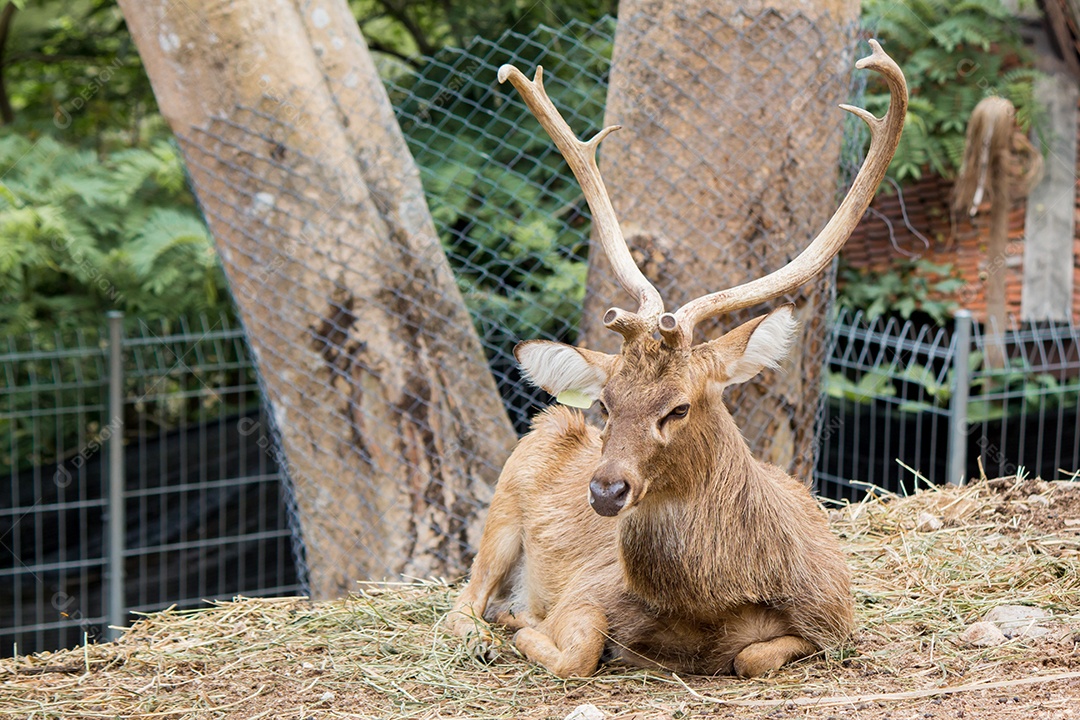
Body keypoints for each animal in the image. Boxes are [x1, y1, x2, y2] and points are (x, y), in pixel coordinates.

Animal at [442, 40, 907, 682]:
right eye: (606, 405)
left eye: (679, 408)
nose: (605, 491)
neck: (715, 601)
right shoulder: (586, 589)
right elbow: (578, 652)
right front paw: (524, 629)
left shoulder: (835, 617)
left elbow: (757, 656)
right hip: (505, 500)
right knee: (460, 604)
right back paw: (496, 626)